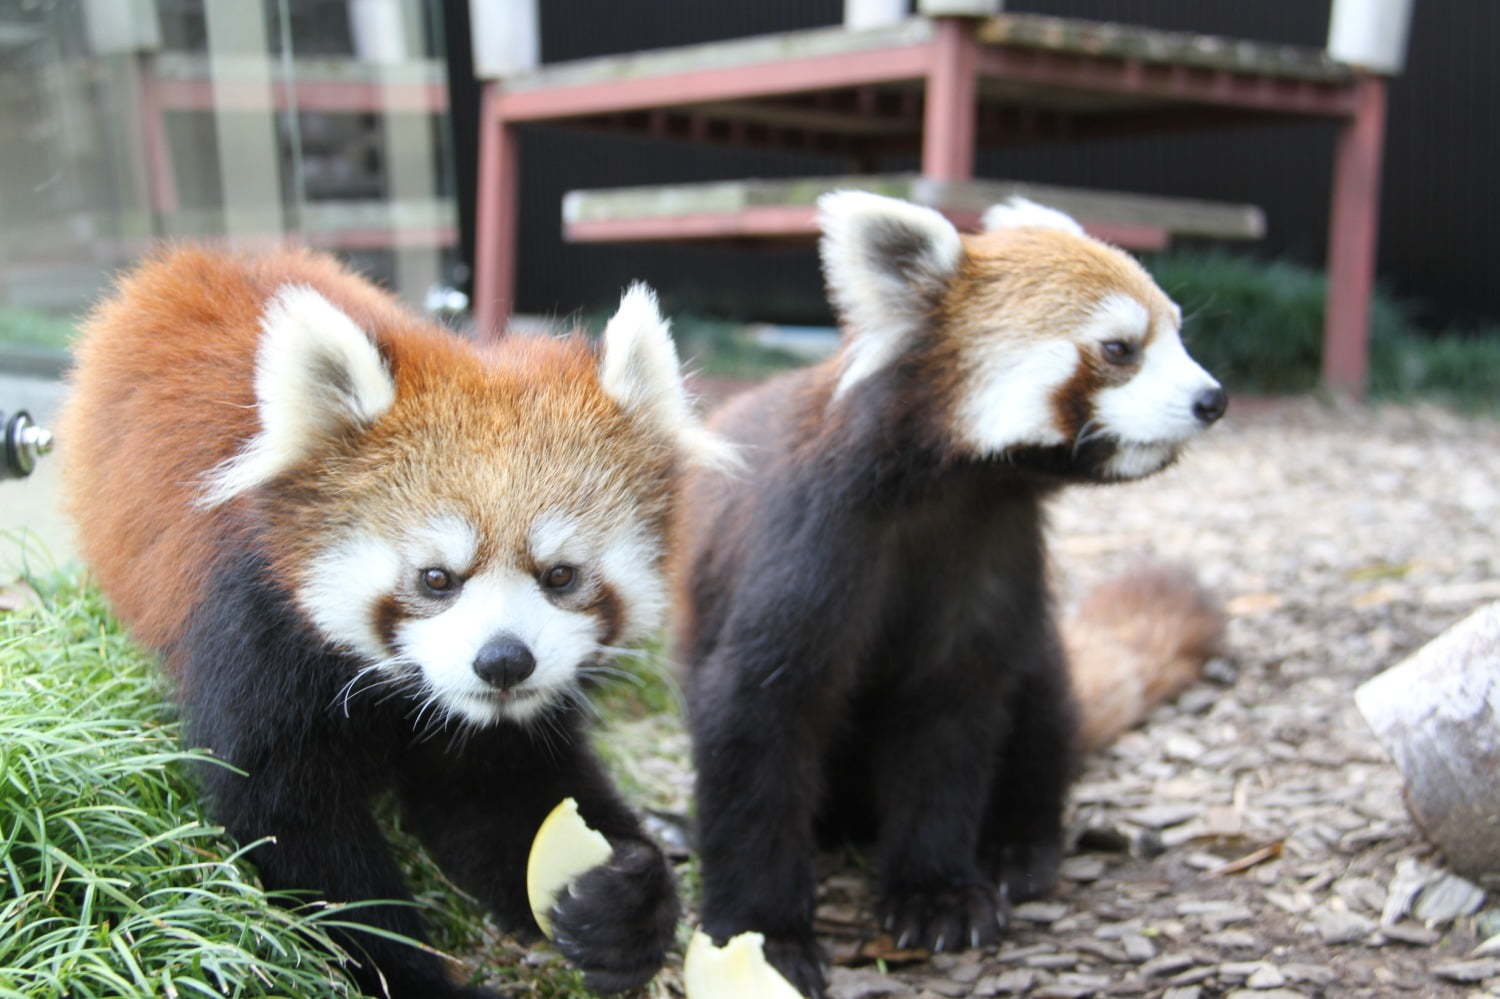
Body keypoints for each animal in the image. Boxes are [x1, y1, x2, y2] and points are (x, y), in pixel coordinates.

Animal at [63, 243, 732, 996]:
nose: (504, 661)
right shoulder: (256, 633)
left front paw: (624, 902)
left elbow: (499, 790)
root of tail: (194, 256)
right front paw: (408, 974)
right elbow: (289, 820)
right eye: (436, 579)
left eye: (560, 575)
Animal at [678, 190, 1230, 990]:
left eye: (1179, 334)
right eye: (1121, 349)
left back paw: (1017, 849)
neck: (953, 491)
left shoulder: (989, 550)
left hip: (1042, 660)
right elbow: (756, 725)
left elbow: (950, 724)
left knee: (1041, 708)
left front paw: (937, 893)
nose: (1213, 399)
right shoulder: (806, 543)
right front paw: (764, 933)